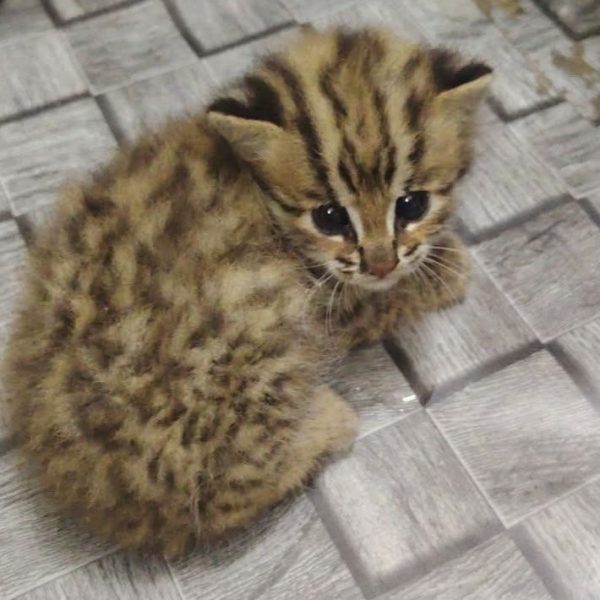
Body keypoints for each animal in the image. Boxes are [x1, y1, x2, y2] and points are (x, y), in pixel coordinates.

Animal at [3, 26, 491, 557]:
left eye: (411, 204)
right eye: (330, 217)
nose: (381, 262)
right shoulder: (326, 302)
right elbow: (378, 299)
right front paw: (447, 268)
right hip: (253, 322)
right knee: (222, 492)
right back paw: (329, 422)